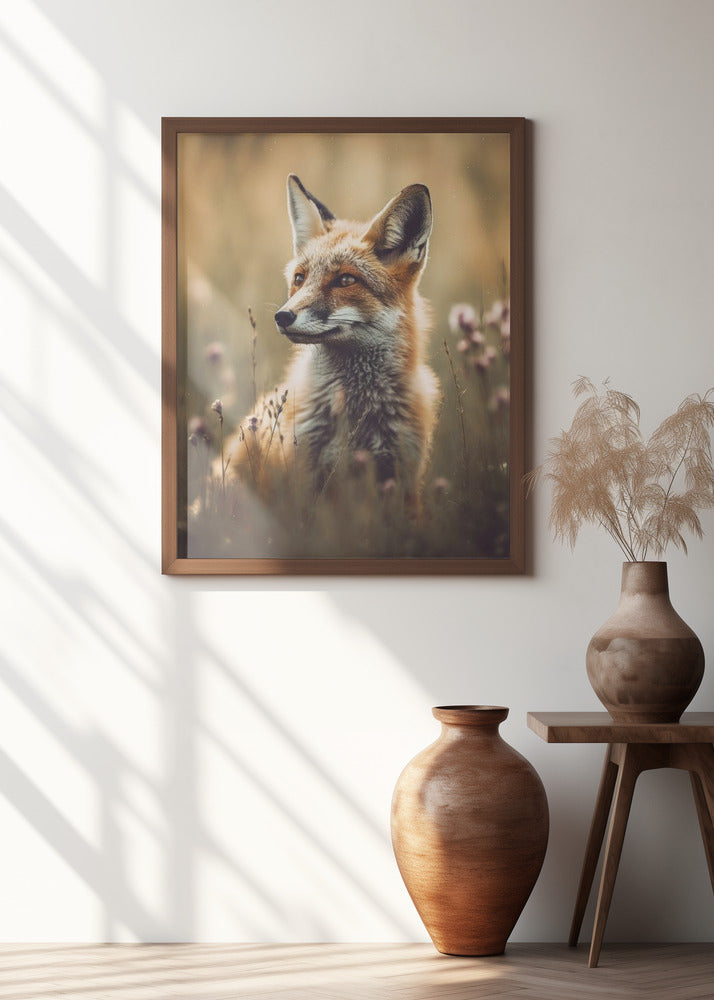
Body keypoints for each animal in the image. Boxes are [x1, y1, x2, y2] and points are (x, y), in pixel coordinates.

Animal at [222, 174, 440, 510]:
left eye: (346, 280)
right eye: (300, 279)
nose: (282, 317)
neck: (356, 414)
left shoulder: (402, 478)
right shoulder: (303, 475)